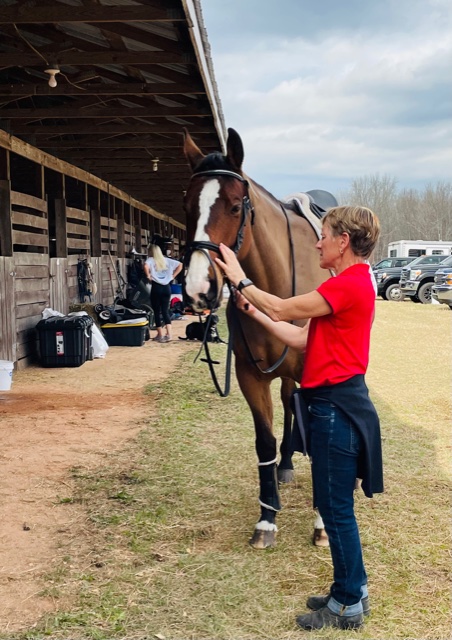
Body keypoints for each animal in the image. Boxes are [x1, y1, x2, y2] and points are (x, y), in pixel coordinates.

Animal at [182, 127, 331, 549]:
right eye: (187, 205)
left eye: (235, 207)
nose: (198, 289)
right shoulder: (250, 376)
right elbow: (263, 442)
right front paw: (267, 518)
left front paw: (322, 523)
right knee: (287, 401)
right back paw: (286, 465)